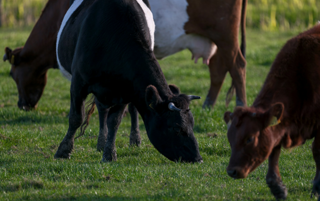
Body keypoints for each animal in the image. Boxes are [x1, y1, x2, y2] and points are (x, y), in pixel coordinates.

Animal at [53, 0, 201, 163]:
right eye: (176, 127)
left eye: (192, 124)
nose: (198, 158)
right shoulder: (78, 83)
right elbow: (76, 117)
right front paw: (63, 151)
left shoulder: (125, 90)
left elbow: (115, 121)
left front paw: (109, 154)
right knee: (101, 109)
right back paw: (100, 142)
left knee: (129, 109)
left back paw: (132, 139)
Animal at [224, 24, 320, 200]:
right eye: (230, 139)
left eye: (249, 139)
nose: (232, 171)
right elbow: (273, 150)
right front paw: (276, 186)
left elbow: (316, 151)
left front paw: (317, 187)